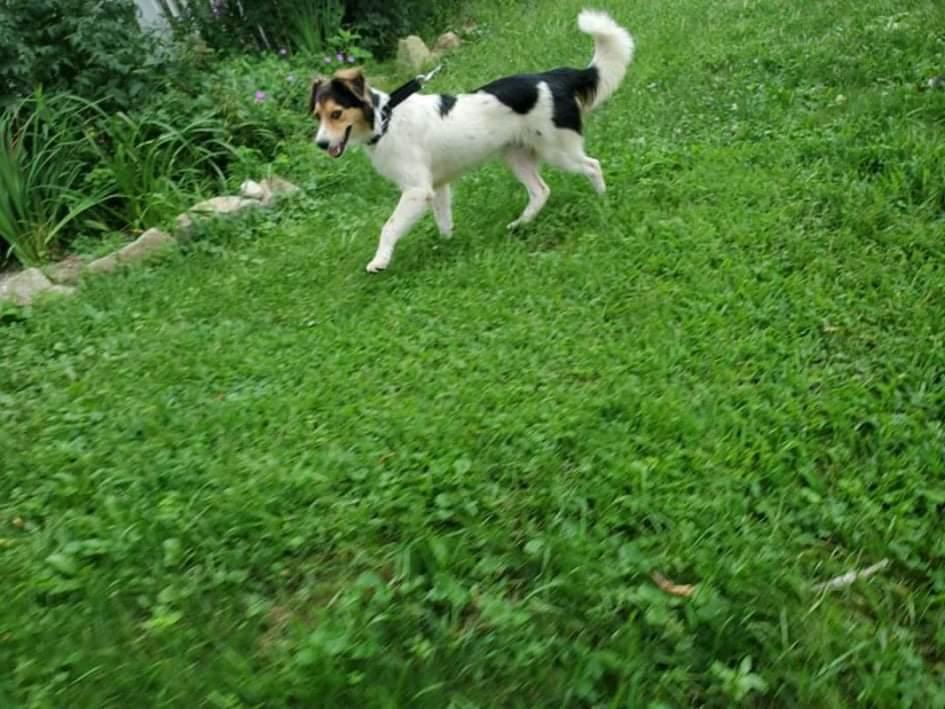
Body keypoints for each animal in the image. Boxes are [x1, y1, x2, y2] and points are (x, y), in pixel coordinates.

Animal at [310, 9, 636, 272]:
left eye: (336, 113)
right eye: (317, 116)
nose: (321, 145)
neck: (386, 119)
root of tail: (554, 77)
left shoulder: (417, 190)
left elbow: (389, 227)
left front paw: (380, 261)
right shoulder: (438, 186)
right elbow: (443, 222)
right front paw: (447, 247)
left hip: (558, 150)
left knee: (592, 165)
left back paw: (602, 201)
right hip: (516, 155)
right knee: (541, 191)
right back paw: (521, 224)